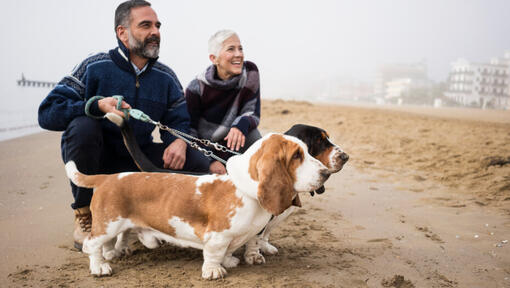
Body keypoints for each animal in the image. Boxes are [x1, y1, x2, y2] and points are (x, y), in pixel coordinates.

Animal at [65, 127, 328, 278]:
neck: (246, 191)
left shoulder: (248, 233)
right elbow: (214, 254)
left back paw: (113, 254)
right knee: (91, 245)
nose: (325, 173)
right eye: (297, 156)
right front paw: (214, 270)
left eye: (308, 150)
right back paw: (99, 267)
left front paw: (231, 260)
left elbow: (240, 247)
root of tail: (107, 177)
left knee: (110, 242)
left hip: (114, 226)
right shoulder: (217, 236)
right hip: (108, 225)